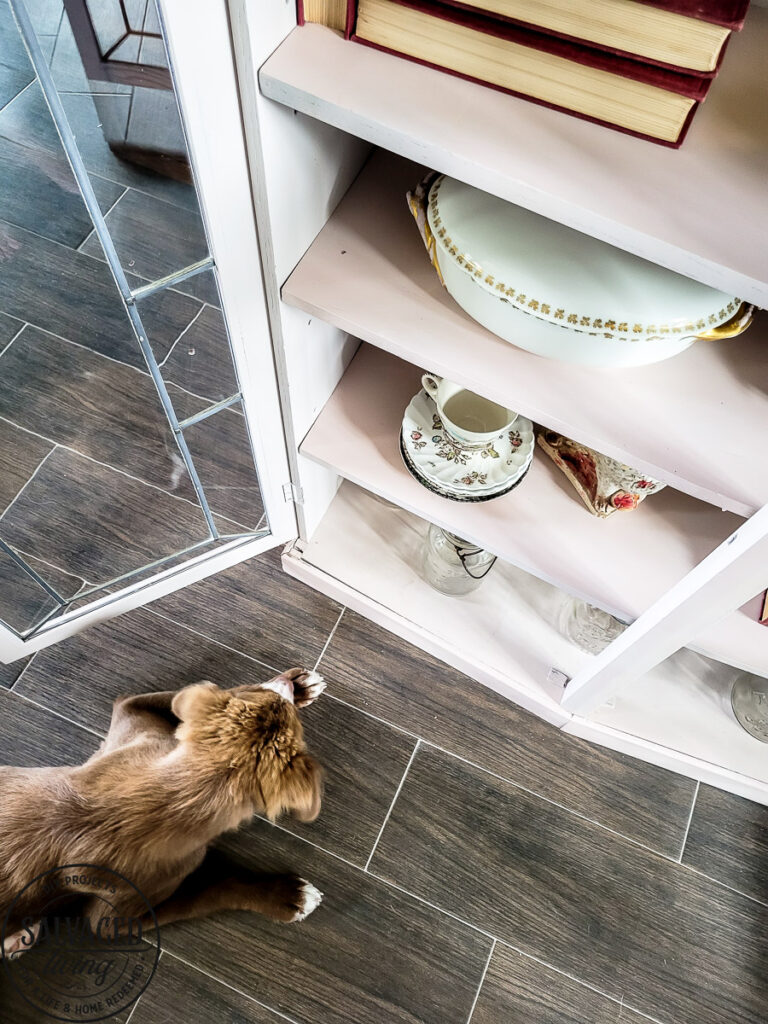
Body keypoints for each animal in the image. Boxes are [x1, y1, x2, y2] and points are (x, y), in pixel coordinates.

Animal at [0, 667, 325, 954]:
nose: (288, 684)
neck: (179, 792)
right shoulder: (112, 920)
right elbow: (211, 890)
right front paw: (288, 896)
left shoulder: (134, 717)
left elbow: (190, 696)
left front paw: (300, 684)